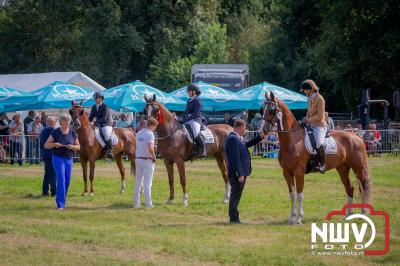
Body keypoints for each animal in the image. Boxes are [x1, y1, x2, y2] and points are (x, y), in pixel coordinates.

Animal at [262, 92, 372, 224]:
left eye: (272, 110)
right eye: (262, 109)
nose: (263, 130)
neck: (293, 139)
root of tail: (356, 136)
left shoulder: (299, 172)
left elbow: (300, 195)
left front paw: (298, 218)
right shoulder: (287, 172)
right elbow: (292, 195)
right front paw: (291, 218)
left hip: (358, 168)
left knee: (364, 188)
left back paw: (363, 213)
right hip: (342, 168)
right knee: (350, 188)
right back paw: (348, 215)